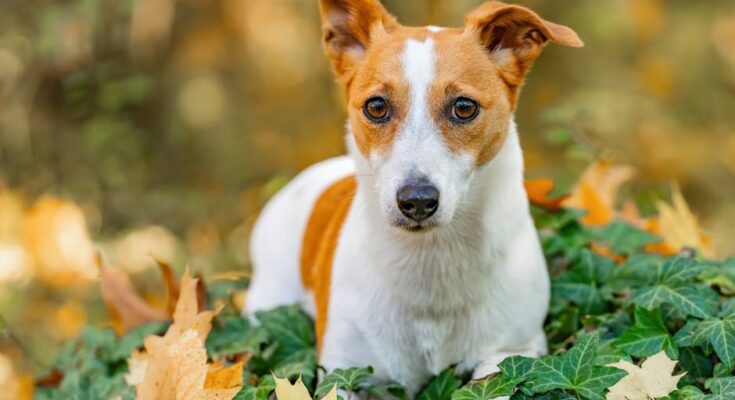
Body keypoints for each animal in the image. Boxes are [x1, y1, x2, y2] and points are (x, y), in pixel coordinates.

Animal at [244, 0, 584, 394]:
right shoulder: (342, 372)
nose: (417, 200)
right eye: (376, 106)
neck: (430, 261)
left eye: (464, 107)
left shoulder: (513, 352)